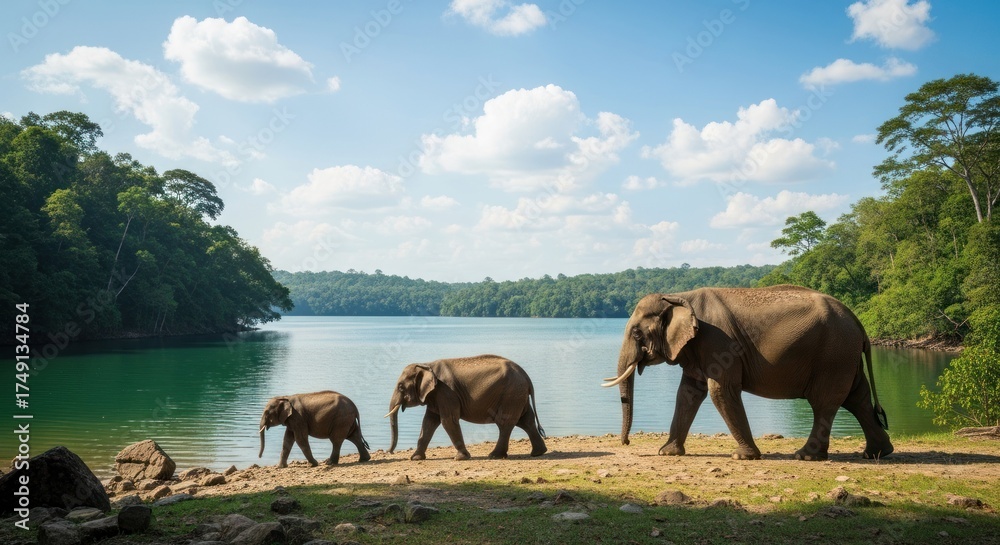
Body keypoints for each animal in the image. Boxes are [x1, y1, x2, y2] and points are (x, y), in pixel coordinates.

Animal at [385, 354, 547, 460]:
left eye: (400, 387)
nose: (389, 452)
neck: (426, 364)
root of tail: (527, 377)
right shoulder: (436, 396)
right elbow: (429, 422)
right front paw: (415, 458)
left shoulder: (446, 392)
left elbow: (448, 421)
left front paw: (461, 458)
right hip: (517, 395)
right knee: (526, 421)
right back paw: (538, 453)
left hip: (511, 395)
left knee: (505, 423)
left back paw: (494, 455)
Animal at [602, 285, 893, 461]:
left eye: (636, 333)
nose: (625, 443)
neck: (679, 295)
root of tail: (859, 323)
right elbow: (688, 393)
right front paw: (667, 453)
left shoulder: (717, 341)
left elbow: (720, 390)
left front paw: (743, 456)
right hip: (845, 357)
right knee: (857, 398)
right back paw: (877, 453)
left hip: (833, 355)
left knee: (825, 402)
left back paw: (805, 456)